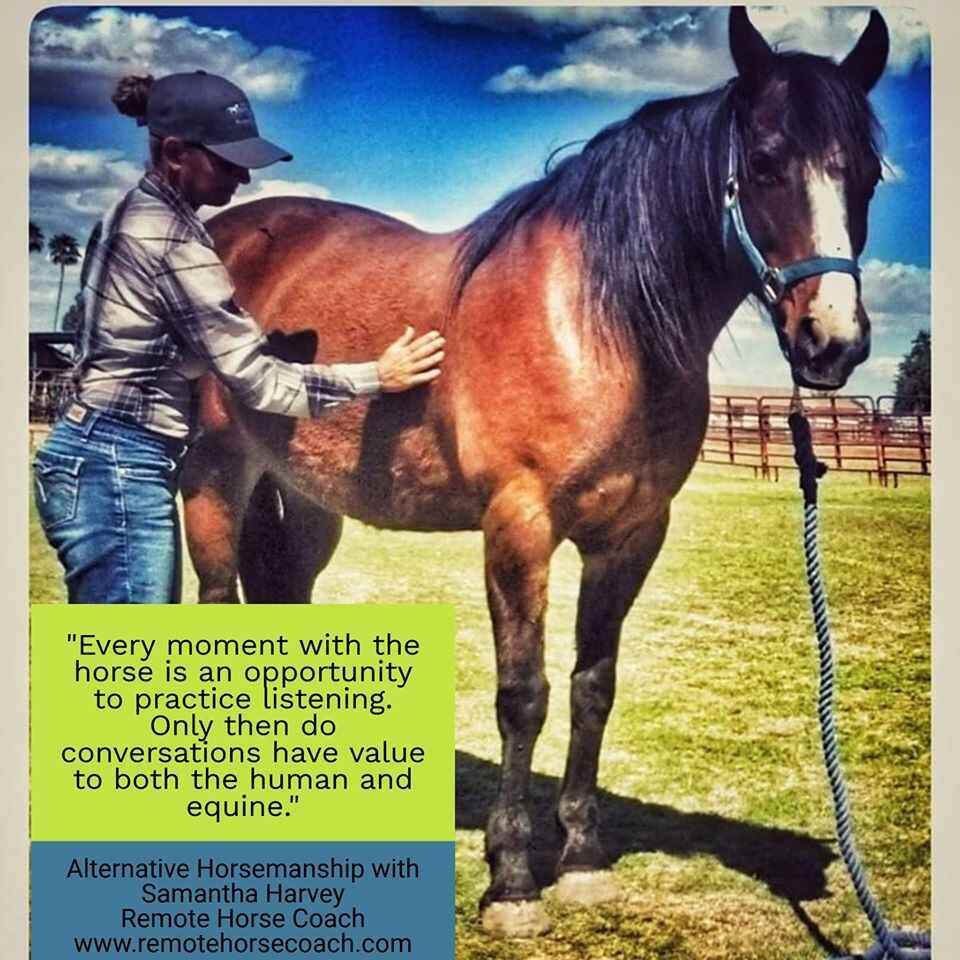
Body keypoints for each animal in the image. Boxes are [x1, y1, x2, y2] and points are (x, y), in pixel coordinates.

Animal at [180, 7, 889, 936]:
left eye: (868, 176)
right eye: (767, 163)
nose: (832, 343)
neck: (596, 320)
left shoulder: (631, 533)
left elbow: (593, 685)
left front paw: (581, 858)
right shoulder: (518, 525)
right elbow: (524, 692)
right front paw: (513, 879)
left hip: (304, 503)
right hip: (214, 479)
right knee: (216, 607)